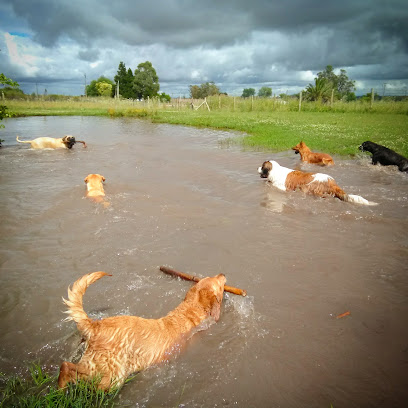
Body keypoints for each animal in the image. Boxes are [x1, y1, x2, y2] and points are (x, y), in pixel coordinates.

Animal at [57, 270, 226, 388]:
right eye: (219, 284)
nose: (222, 273)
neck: (188, 313)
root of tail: (94, 324)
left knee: (65, 366)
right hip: (113, 375)